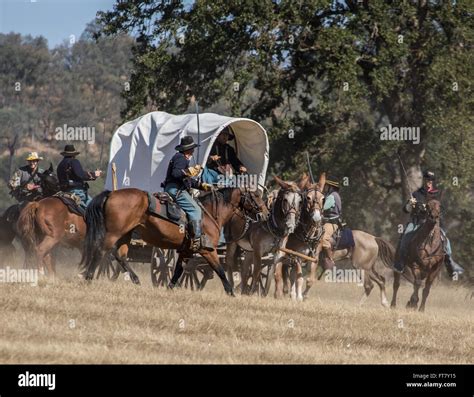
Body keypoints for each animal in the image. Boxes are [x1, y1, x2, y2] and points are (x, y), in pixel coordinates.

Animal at [81, 186, 266, 294]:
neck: (210, 214)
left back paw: (136, 280)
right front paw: (231, 292)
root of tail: (111, 193)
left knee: (120, 256)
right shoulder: (208, 250)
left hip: (125, 234)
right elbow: (219, 269)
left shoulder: (186, 251)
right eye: (255, 195)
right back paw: (88, 277)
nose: (265, 212)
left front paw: (170, 288)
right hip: (114, 233)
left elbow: (178, 270)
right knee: (101, 252)